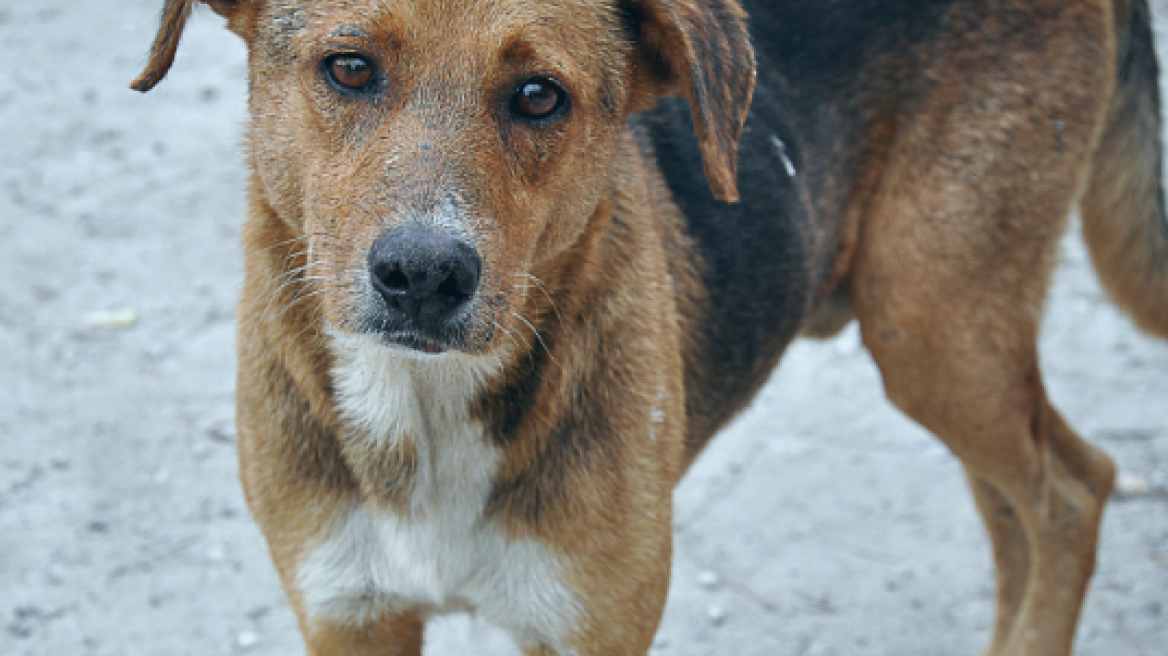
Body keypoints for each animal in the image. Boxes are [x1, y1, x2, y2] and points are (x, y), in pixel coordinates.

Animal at [132, 1, 1163, 653]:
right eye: (349, 67)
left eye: (540, 94)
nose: (423, 277)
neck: (425, 410)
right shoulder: (350, 614)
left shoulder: (593, 625)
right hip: (946, 340)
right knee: (1025, 502)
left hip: (933, 322)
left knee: (1073, 492)